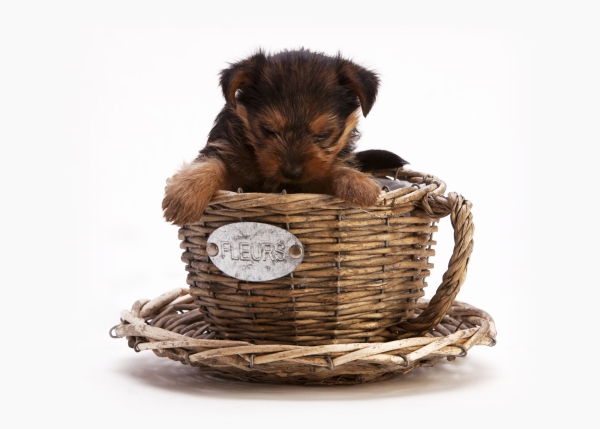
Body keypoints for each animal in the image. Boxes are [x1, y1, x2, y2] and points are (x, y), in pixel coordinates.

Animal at [162, 49, 382, 226]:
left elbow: (332, 170)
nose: (292, 172)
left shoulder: (311, 182)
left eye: (323, 134)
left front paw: (359, 184)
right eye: (268, 129)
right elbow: (209, 164)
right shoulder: (227, 156)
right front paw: (185, 197)